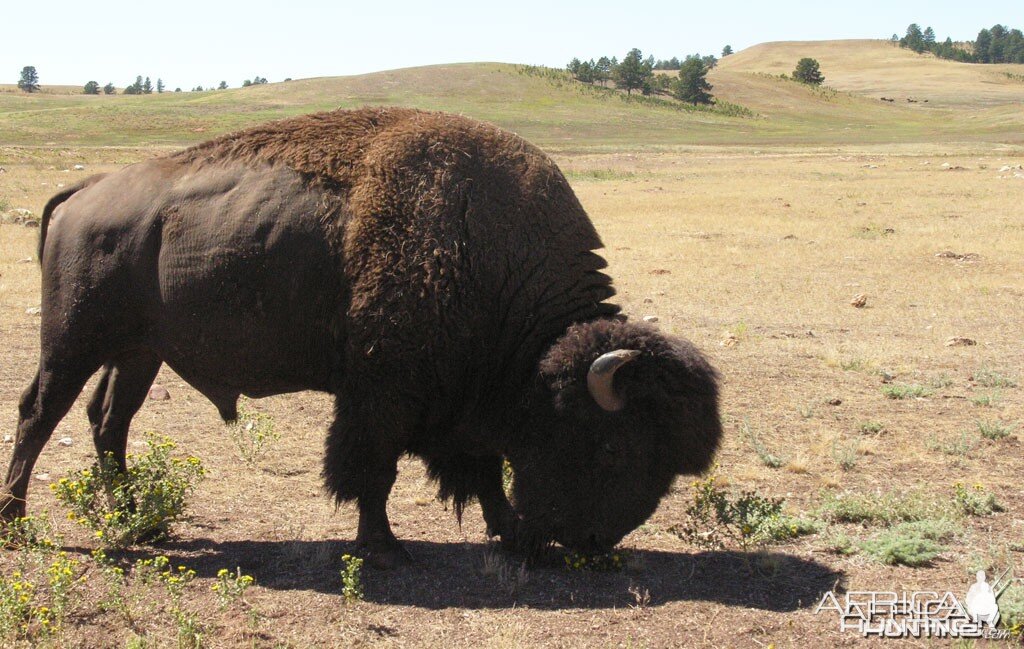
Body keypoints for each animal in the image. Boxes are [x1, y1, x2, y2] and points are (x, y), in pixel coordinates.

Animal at [0, 107, 720, 565]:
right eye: (612, 446)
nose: (594, 542)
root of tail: (87, 190)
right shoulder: (381, 396)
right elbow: (373, 470)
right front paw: (385, 547)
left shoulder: (462, 405)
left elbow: (482, 469)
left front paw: (509, 532)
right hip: (73, 342)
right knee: (41, 412)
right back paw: (18, 523)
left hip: (139, 352)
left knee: (108, 419)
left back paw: (136, 519)